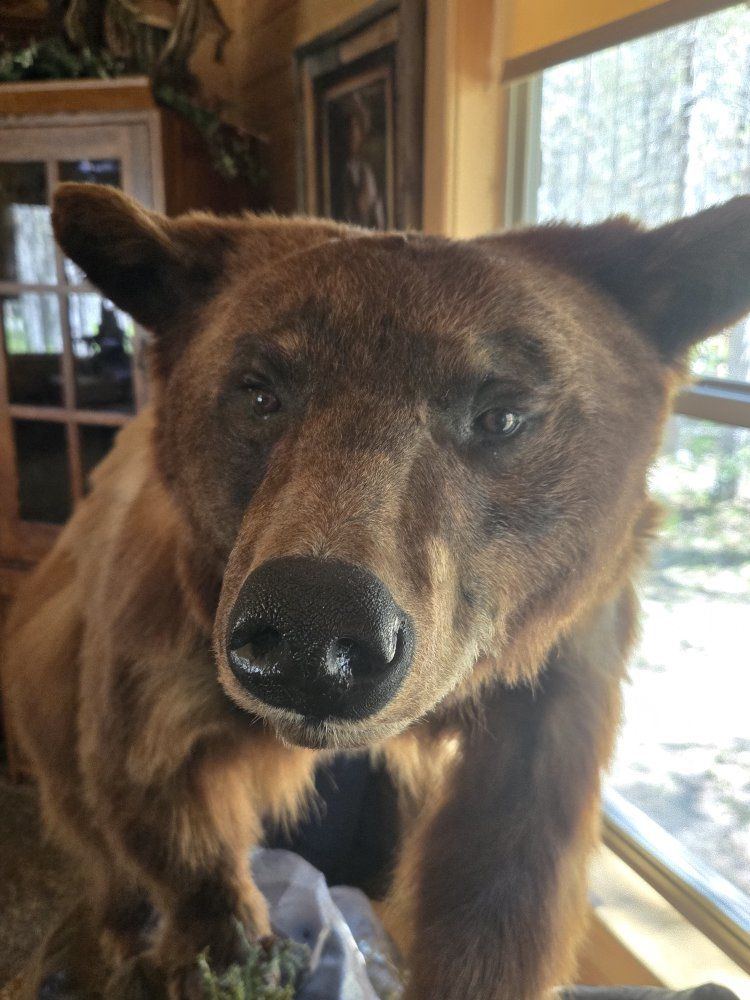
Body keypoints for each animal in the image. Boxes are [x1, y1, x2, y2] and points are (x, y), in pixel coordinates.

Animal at [4, 183, 750, 1000]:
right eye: (259, 393)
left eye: (501, 414)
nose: (312, 631)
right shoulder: (165, 624)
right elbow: (152, 784)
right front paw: (231, 948)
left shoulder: (558, 653)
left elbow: (507, 865)